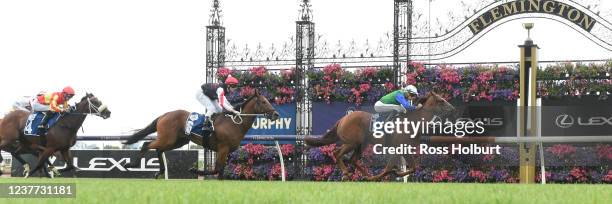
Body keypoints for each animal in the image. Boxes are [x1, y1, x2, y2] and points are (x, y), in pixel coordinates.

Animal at [122, 89, 280, 178]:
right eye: (264, 101)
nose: (276, 114)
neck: (235, 124)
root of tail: (164, 115)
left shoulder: (226, 151)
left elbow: (220, 172)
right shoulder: (223, 148)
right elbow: (216, 169)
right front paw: (194, 170)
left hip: (177, 141)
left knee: (158, 149)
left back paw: (159, 171)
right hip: (168, 138)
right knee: (146, 144)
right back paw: (131, 164)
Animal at [306, 91, 454, 181]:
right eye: (441, 100)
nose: (452, 108)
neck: (412, 122)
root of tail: (343, 119)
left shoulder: (405, 149)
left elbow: (413, 167)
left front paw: (396, 173)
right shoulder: (397, 148)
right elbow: (389, 168)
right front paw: (389, 174)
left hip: (361, 144)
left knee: (353, 159)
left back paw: (367, 176)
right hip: (351, 143)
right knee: (337, 153)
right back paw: (347, 173)